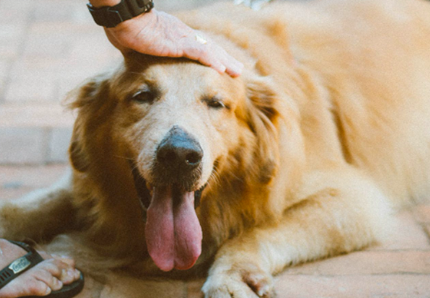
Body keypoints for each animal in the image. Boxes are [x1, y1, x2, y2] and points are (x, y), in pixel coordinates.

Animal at [0, 0, 430, 296]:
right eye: (142, 96)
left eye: (217, 103)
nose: (179, 155)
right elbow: (33, 206)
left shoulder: (355, 200)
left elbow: (261, 228)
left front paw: (234, 272)